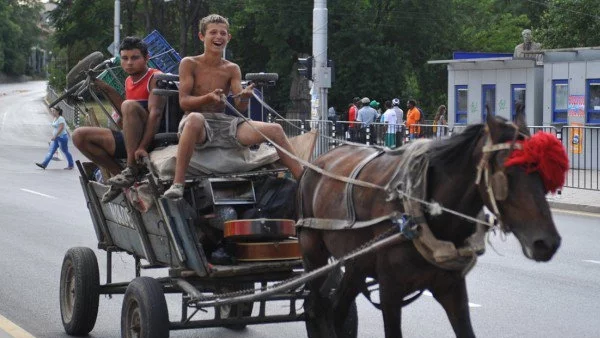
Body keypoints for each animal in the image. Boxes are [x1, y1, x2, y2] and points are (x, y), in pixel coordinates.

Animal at [298, 109, 568, 336]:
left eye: (542, 173)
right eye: (507, 174)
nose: (548, 242)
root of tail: (318, 161)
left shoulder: (452, 289)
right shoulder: (389, 292)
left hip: (356, 264)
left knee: (337, 310)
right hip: (313, 253)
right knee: (318, 308)